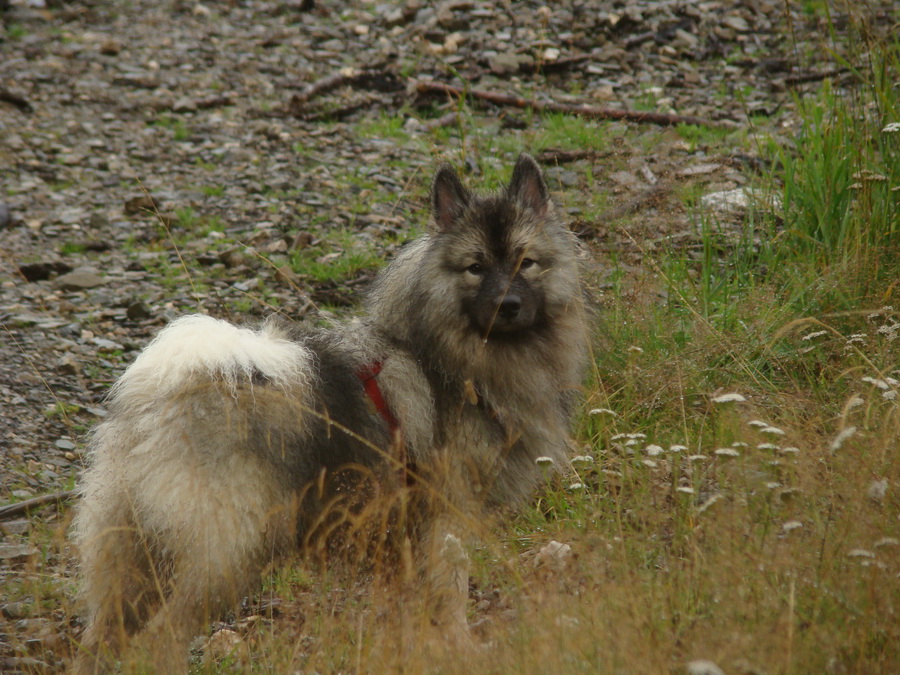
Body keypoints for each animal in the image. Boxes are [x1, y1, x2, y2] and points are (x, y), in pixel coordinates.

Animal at [72, 153, 592, 672]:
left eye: (527, 262)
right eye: (475, 268)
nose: (508, 305)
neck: (451, 362)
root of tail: (161, 397)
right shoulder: (446, 517)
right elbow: (452, 592)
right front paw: (461, 648)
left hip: (132, 556)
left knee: (102, 636)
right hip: (225, 553)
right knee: (162, 637)